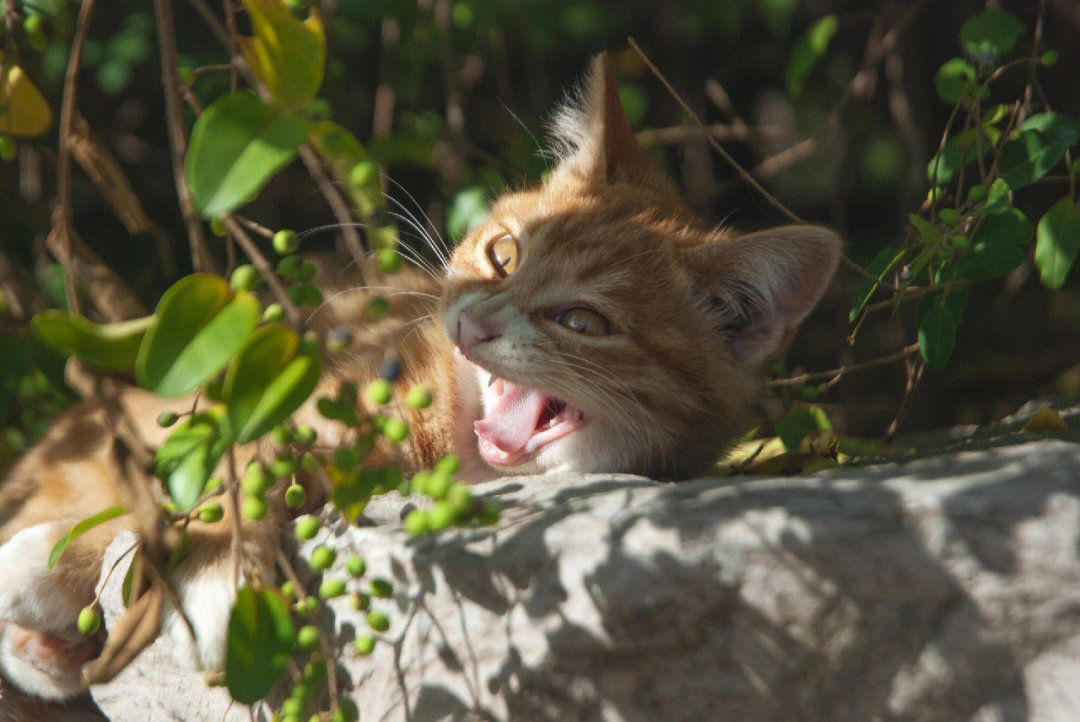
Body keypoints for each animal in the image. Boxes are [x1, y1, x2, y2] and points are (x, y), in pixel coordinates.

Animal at [0, 53, 838, 707]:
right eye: (504, 253)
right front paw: (211, 562)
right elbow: (231, 464)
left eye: (583, 321)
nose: (470, 322)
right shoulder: (308, 404)